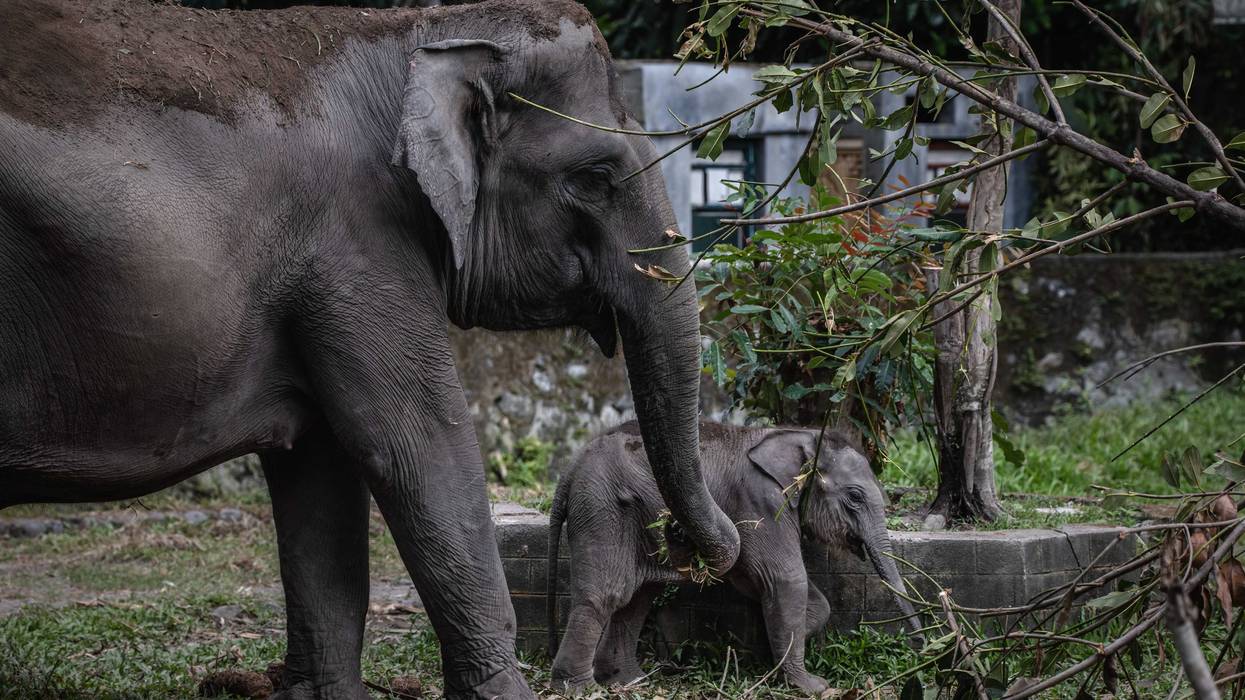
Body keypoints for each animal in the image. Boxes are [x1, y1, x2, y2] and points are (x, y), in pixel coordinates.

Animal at [0, 1, 742, 698]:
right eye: (594, 177)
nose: (688, 542)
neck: (415, 32)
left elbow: (320, 468)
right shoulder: (358, 244)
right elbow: (416, 445)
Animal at [547, 421, 924, 696]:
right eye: (855, 498)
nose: (923, 647)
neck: (798, 436)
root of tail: (570, 470)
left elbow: (775, 587)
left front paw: (768, 655)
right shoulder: (760, 502)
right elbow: (786, 579)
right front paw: (812, 686)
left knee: (637, 597)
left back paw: (627, 680)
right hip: (602, 509)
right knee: (607, 595)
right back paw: (580, 689)